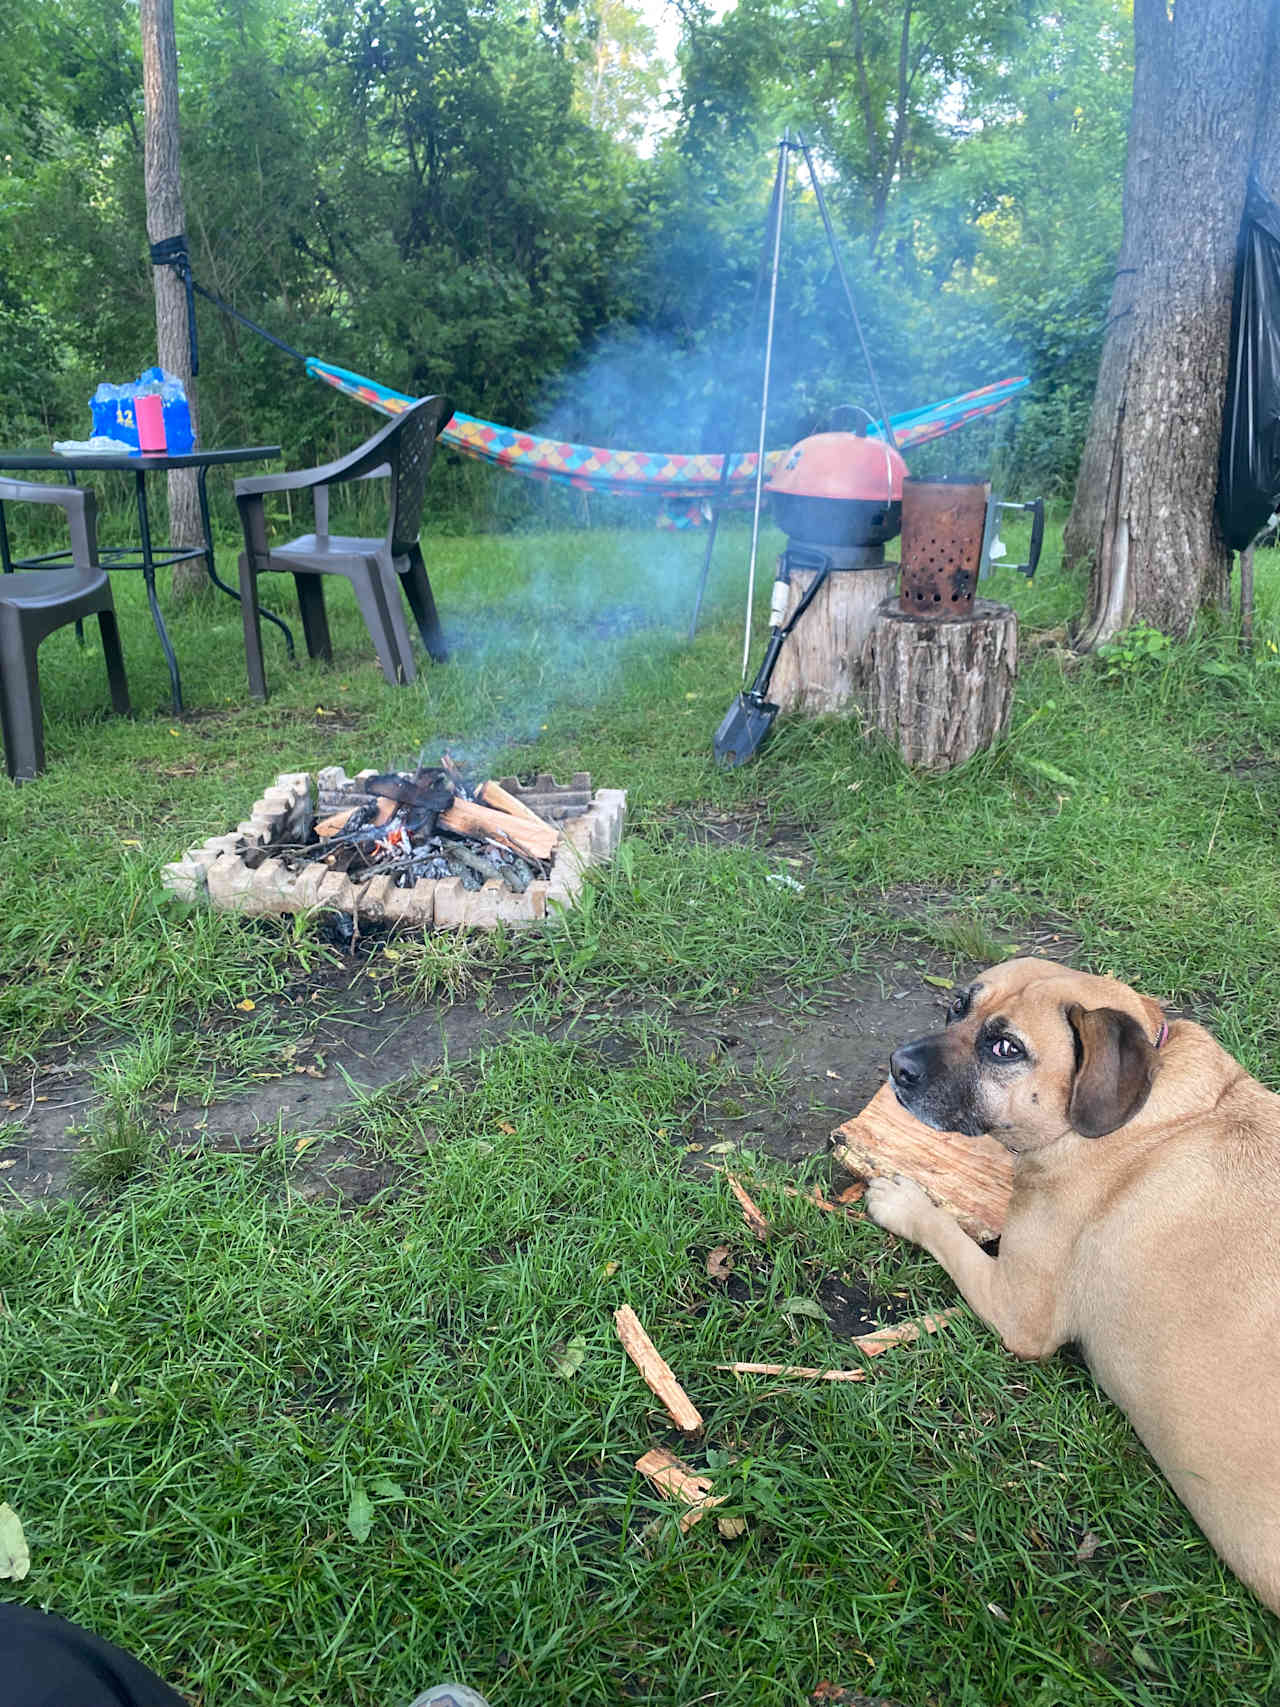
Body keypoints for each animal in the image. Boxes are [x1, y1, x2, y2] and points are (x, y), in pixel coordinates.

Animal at [866, 962, 1280, 1611]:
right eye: (958, 1007)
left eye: (1006, 1048)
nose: (896, 1064)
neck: (1140, 1109)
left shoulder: (1017, 1311)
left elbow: (947, 1231)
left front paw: (903, 1199)